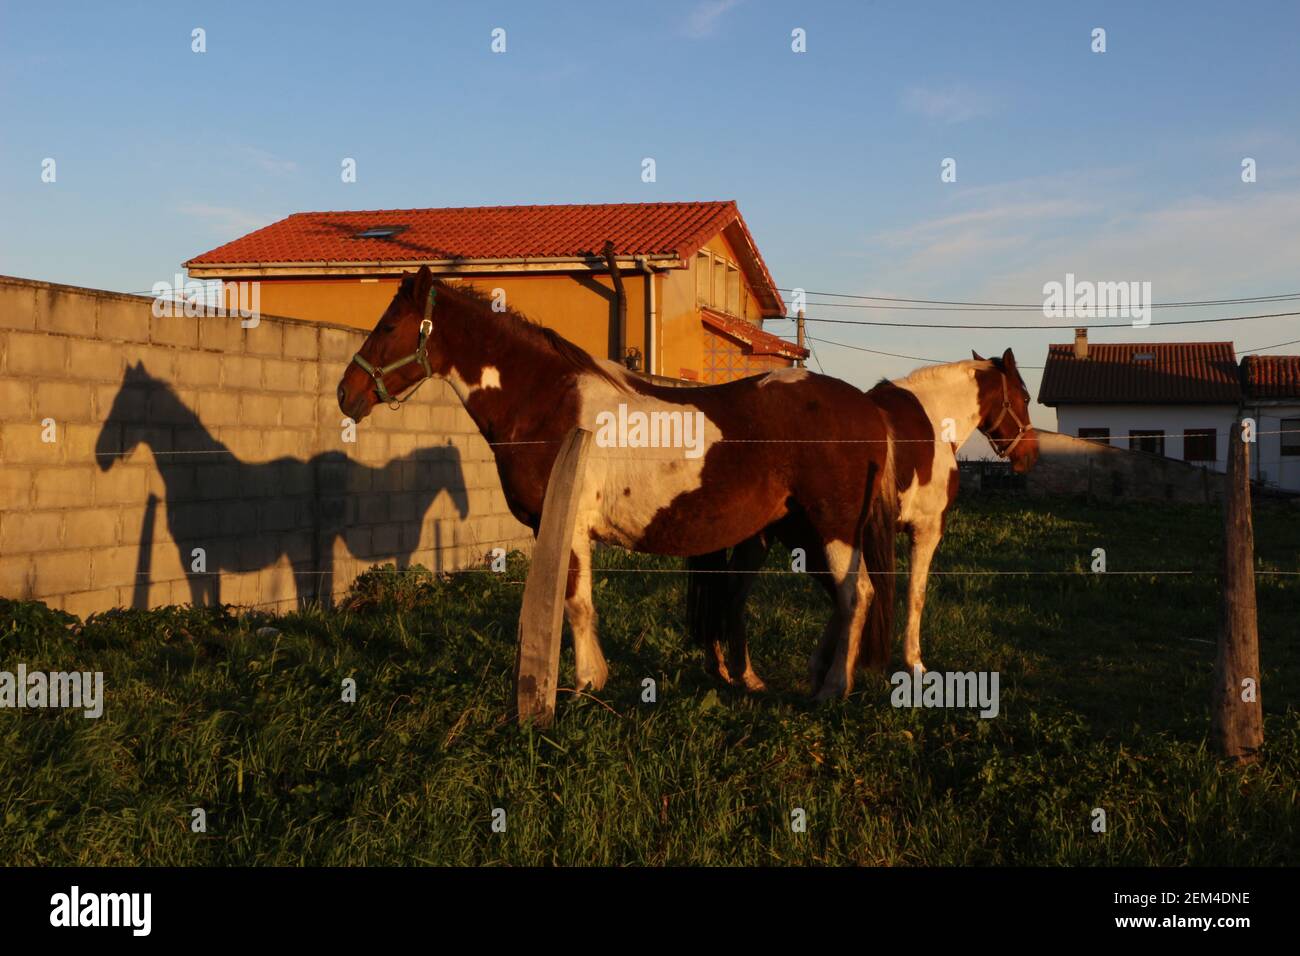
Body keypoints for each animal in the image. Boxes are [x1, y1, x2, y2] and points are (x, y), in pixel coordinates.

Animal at [336, 266, 898, 699]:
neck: (547, 401)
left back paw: (833, 689)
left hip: (831, 527)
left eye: (389, 325)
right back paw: (811, 677)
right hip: (802, 529)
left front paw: (587, 683)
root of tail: (867, 406)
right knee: (840, 598)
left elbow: (577, 602)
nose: (346, 393)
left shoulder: (566, 525)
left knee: (857, 595)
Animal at [687, 350, 1039, 682]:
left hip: (762, 535)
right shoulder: (925, 529)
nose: (1030, 455)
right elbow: (914, 594)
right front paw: (914, 664)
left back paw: (733, 670)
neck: (932, 420)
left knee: (730, 590)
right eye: (1024, 397)